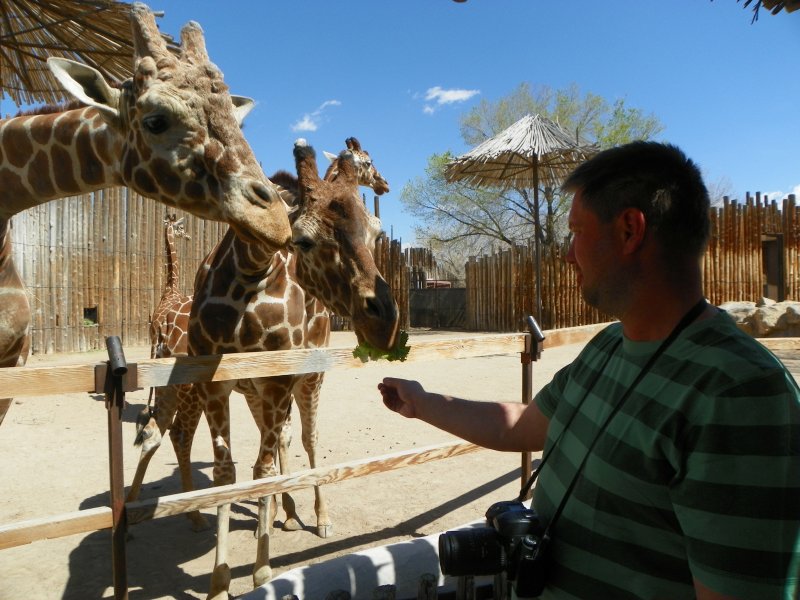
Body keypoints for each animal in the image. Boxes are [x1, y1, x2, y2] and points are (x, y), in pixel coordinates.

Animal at [162, 139, 396, 600]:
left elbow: (264, 470)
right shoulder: (220, 382)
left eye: (375, 234)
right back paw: (280, 515)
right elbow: (229, 474)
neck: (247, 272)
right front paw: (219, 582)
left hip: (308, 376)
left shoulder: (278, 378)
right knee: (280, 438)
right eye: (301, 240)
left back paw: (318, 518)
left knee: (308, 437)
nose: (386, 322)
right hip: (255, 388)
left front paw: (262, 572)